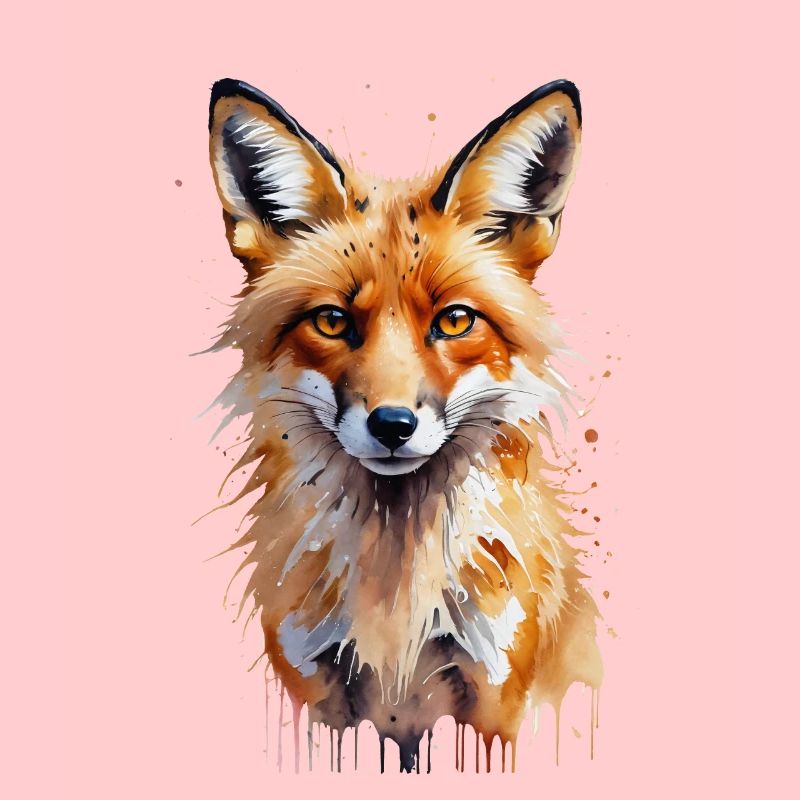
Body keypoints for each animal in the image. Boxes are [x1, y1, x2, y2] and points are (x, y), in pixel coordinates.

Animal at [205, 77, 602, 773]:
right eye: (333, 321)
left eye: (454, 321)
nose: (392, 425)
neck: (395, 590)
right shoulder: (315, 693)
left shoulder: (493, 693)